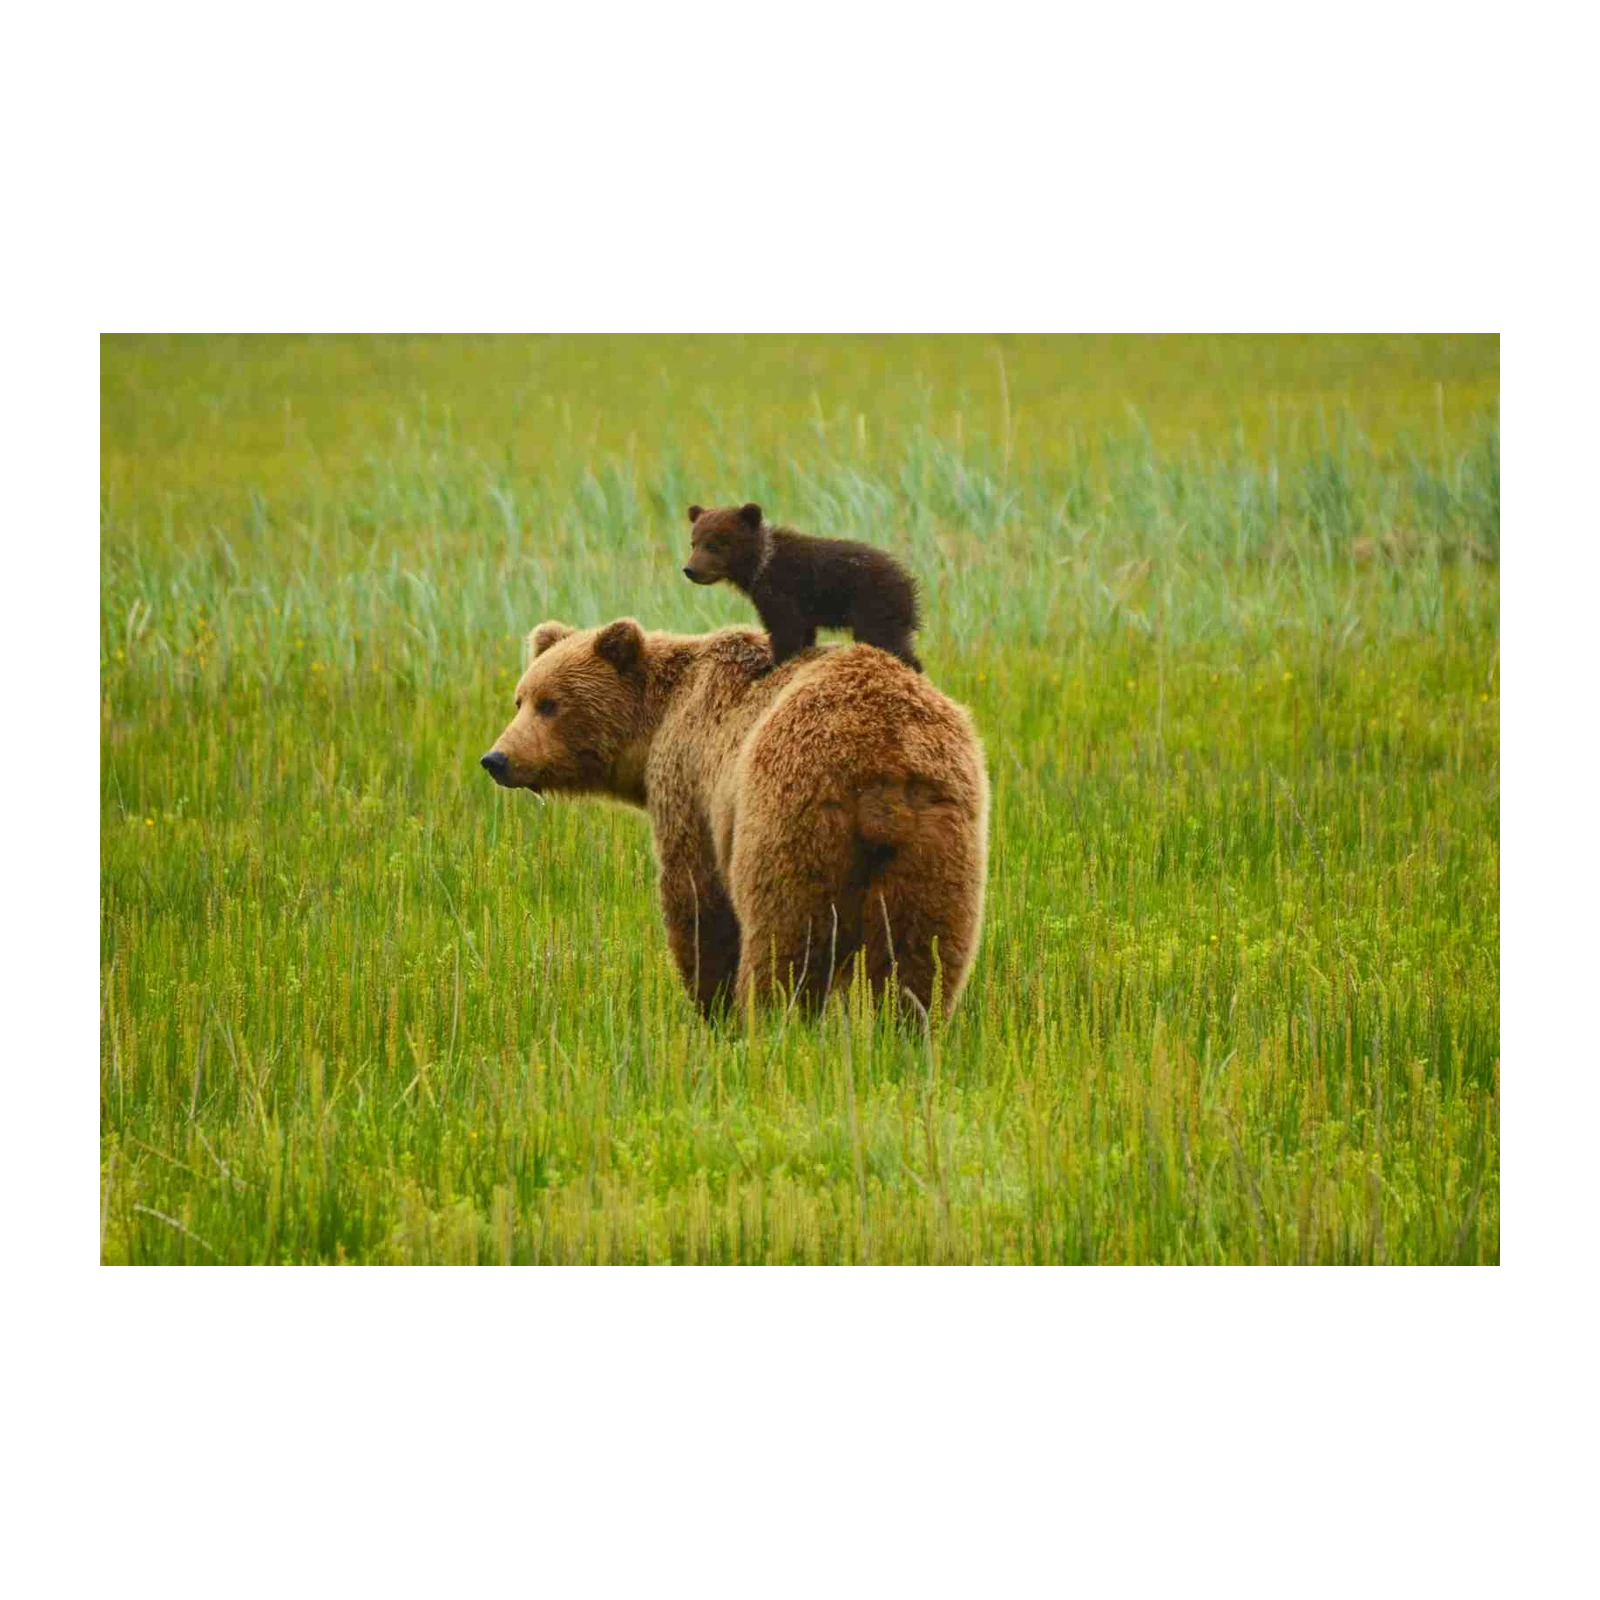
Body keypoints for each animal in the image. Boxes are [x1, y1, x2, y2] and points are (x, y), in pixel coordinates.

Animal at [481, 619, 988, 1019]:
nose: (497, 759)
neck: (657, 723)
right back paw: (906, 1029)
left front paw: (711, 1004)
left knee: (785, 935)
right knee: (923, 949)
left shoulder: (690, 782)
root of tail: (882, 759)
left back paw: (772, 1023)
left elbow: (695, 899)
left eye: (550, 703)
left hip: (790, 816)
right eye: (520, 699)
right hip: (939, 835)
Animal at [682, 502, 923, 673]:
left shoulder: (782, 589)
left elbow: (785, 629)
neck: (759, 565)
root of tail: (908, 583)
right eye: (693, 542)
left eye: (714, 545)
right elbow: (803, 633)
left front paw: (770, 665)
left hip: (874, 607)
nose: (690, 570)